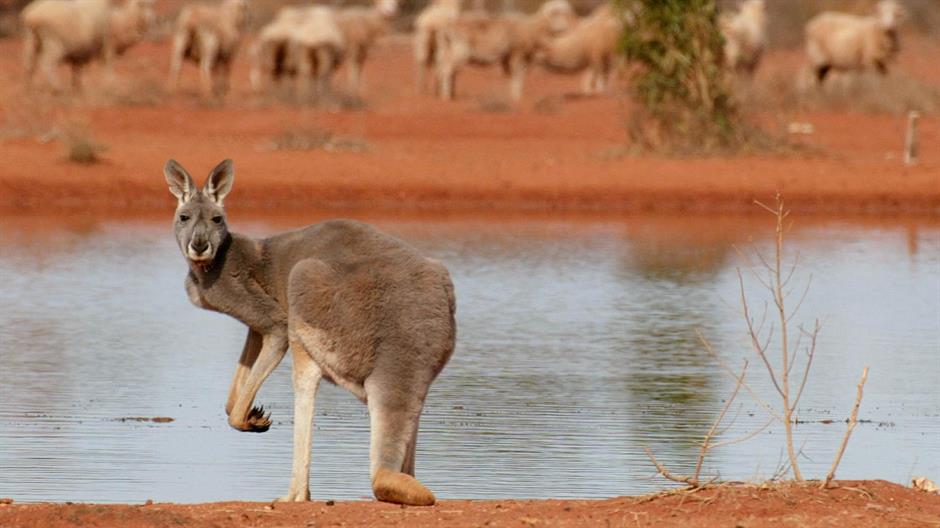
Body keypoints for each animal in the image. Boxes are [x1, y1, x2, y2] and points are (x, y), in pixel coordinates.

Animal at [22, 0, 155, 91]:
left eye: (152, 5)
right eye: (141, 4)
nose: (151, 19)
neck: (122, 18)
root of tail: (31, 16)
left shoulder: (80, 52)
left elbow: (77, 70)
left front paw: (78, 88)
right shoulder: (108, 46)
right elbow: (109, 65)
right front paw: (110, 83)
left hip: (32, 41)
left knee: (29, 64)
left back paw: (28, 88)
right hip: (54, 44)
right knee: (47, 64)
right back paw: (56, 87)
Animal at [432, 0, 576, 101]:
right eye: (563, 14)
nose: (573, 25)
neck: (533, 28)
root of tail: (446, 27)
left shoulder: (507, 57)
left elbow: (511, 75)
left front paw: (511, 94)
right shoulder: (517, 53)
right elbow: (517, 76)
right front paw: (516, 96)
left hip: (445, 49)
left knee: (442, 69)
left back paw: (446, 93)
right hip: (459, 49)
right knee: (447, 70)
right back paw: (446, 96)